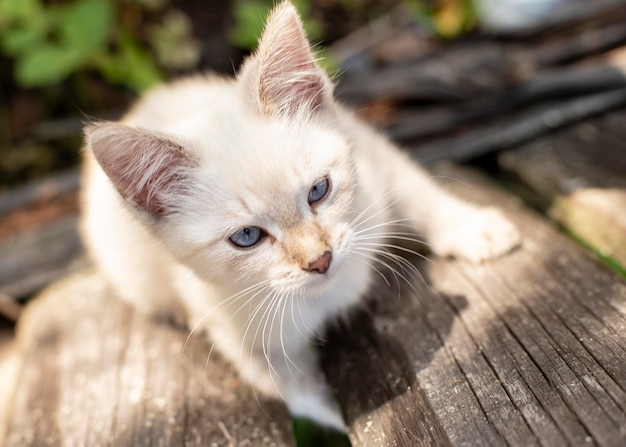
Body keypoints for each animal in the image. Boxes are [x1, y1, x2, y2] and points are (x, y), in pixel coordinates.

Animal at [79, 1, 516, 432]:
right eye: (247, 237)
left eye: (318, 191)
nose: (320, 261)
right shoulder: (233, 329)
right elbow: (296, 391)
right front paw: (331, 413)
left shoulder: (371, 154)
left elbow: (415, 191)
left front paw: (473, 228)